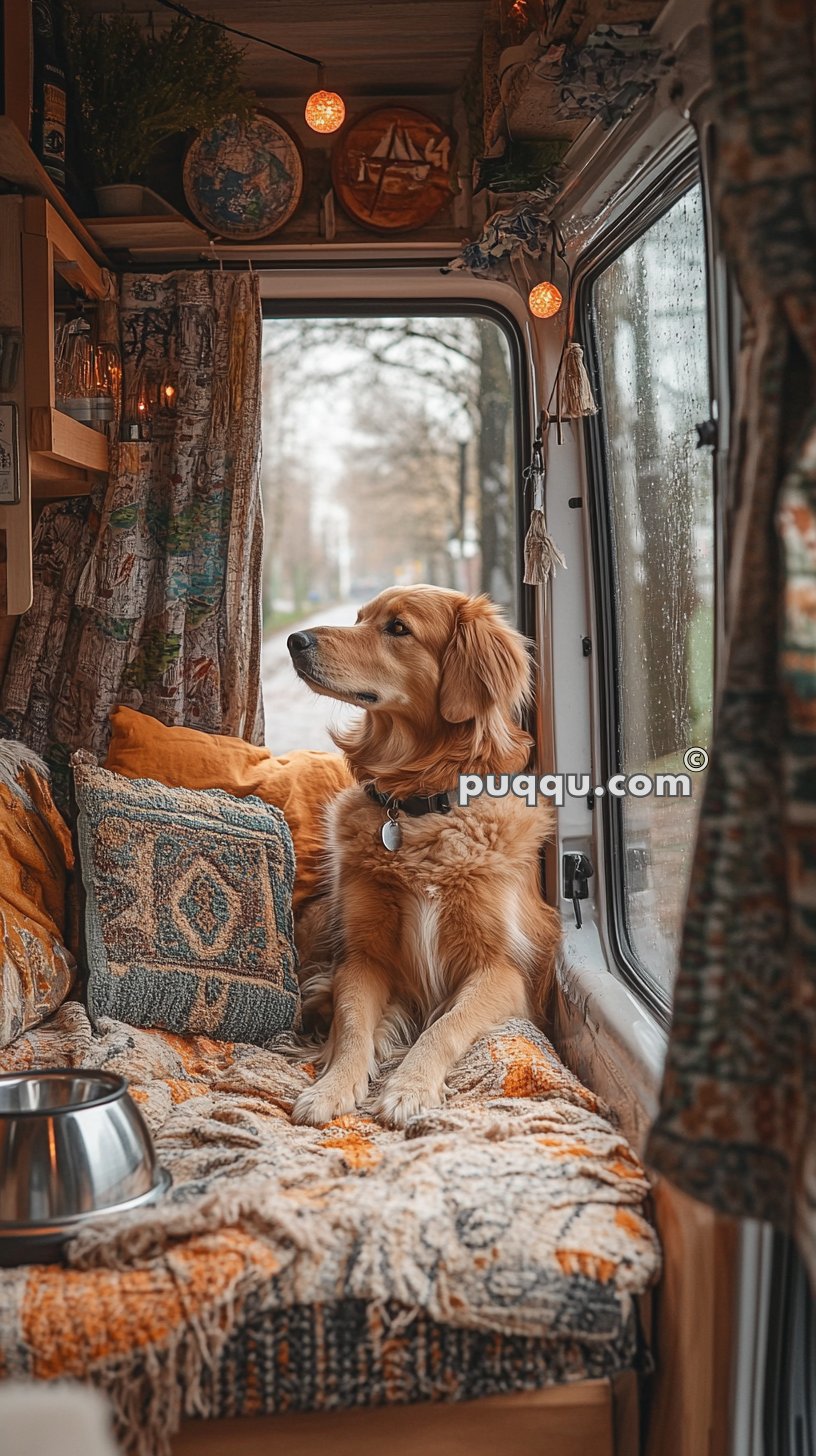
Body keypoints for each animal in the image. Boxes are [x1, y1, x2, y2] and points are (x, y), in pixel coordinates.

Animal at [287, 585, 559, 1129]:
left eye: (398, 628)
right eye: (359, 618)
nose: (294, 640)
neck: (418, 805)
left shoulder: (504, 970)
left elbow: (447, 1023)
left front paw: (409, 1087)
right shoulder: (362, 956)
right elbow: (353, 1025)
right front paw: (333, 1086)